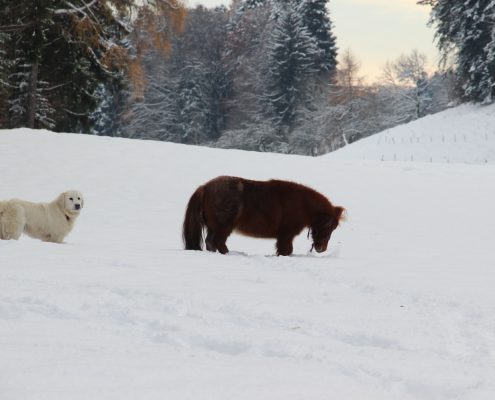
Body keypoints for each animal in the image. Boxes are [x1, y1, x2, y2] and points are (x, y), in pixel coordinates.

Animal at [182, 177, 344, 256]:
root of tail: (204, 187)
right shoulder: (286, 234)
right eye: (329, 226)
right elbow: (285, 250)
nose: (321, 248)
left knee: (211, 242)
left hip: (214, 227)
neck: (301, 203)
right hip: (224, 227)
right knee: (218, 242)